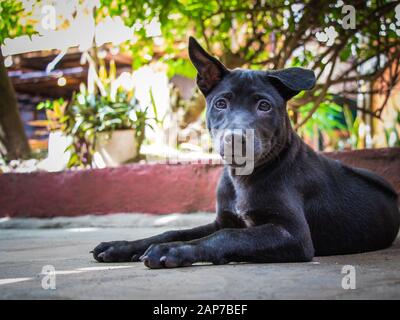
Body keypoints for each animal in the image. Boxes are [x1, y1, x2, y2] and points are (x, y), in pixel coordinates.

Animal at [92, 37, 398, 268]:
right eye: (221, 103)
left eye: (264, 106)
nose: (235, 139)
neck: (243, 177)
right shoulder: (223, 219)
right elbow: (175, 230)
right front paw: (122, 246)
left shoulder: (294, 234)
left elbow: (227, 237)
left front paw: (172, 250)